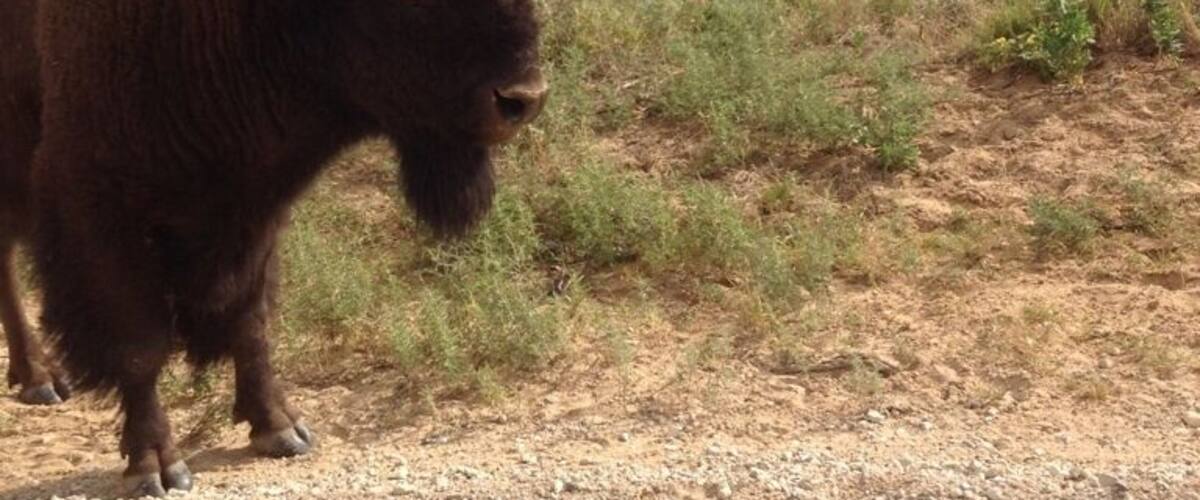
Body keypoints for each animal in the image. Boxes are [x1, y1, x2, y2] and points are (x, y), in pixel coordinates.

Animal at [0, 0, 546, 496]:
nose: (522, 99)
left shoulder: (255, 208)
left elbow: (251, 320)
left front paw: (280, 429)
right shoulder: (98, 209)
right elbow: (139, 347)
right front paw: (156, 466)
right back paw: (39, 378)